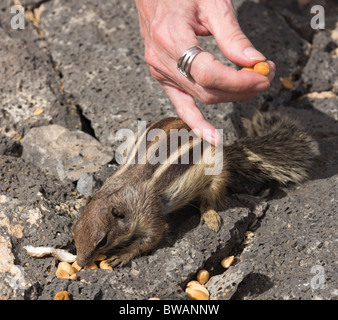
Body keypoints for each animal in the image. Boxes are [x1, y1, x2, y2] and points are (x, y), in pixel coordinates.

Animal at [72, 112, 318, 268]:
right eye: (74, 231)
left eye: (102, 241)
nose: (80, 263)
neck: (123, 192)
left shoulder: (150, 211)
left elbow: (152, 237)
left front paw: (123, 255)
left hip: (216, 175)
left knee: (211, 199)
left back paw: (210, 216)